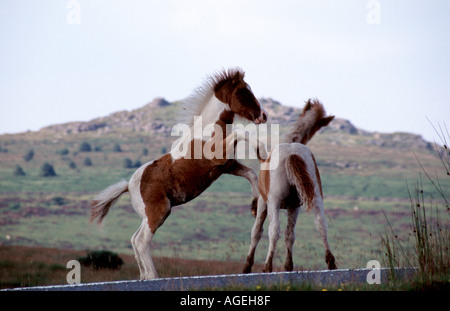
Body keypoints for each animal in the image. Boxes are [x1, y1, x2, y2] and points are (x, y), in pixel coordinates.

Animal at [90, 69, 268, 280]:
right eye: (243, 91)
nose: (263, 115)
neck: (207, 131)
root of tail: (129, 186)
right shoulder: (219, 156)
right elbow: (242, 133)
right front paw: (262, 151)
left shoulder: (227, 165)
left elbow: (251, 174)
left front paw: (254, 207)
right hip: (159, 211)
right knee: (142, 241)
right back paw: (153, 277)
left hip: (147, 215)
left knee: (134, 239)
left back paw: (144, 276)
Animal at [243, 98, 338, 274]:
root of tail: (292, 153)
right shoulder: (295, 206)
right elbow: (290, 234)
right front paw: (288, 266)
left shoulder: (263, 203)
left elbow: (256, 231)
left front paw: (247, 266)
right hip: (316, 197)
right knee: (321, 223)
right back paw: (331, 262)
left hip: (273, 203)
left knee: (273, 229)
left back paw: (267, 266)